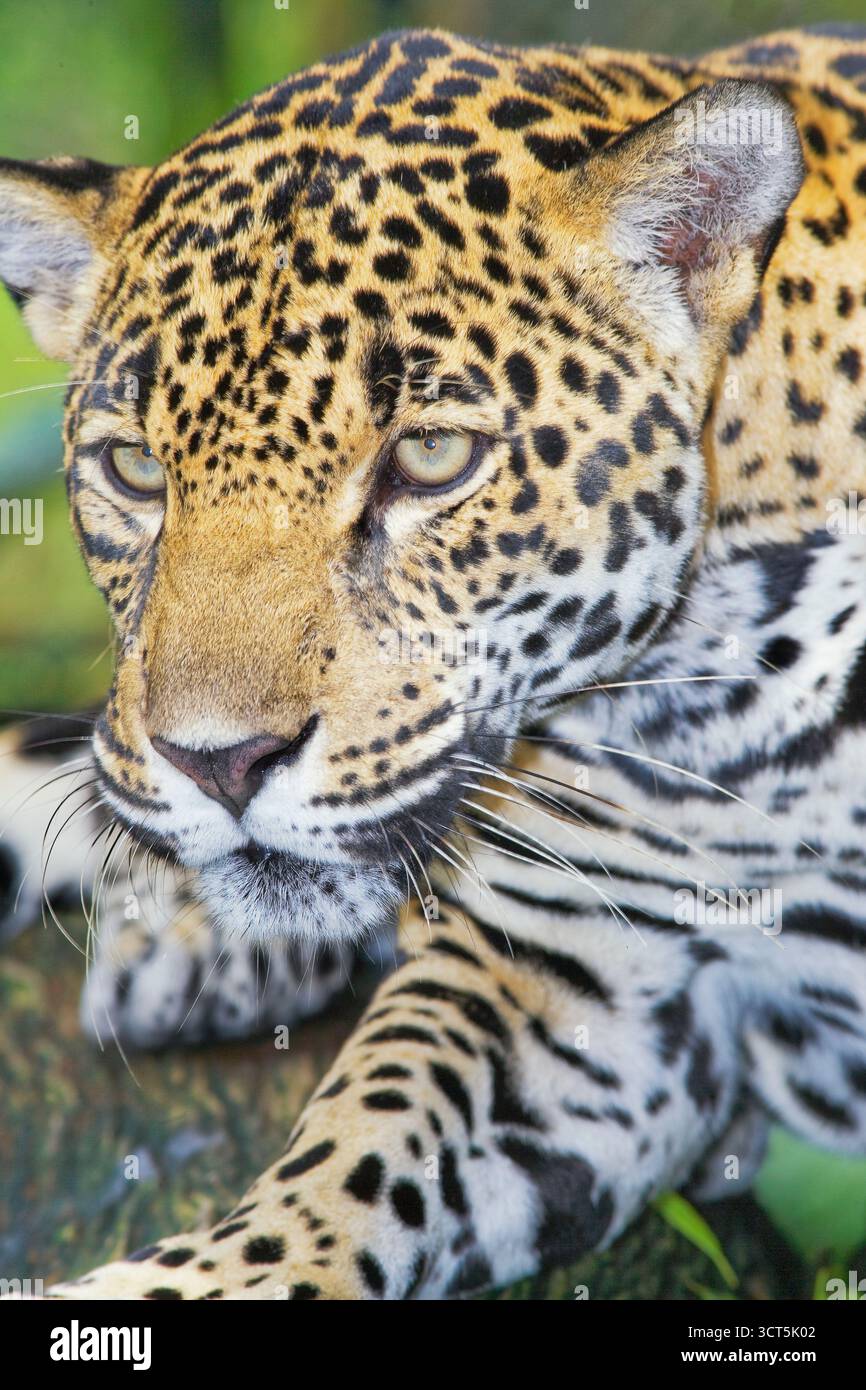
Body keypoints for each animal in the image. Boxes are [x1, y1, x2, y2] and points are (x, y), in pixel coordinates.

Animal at [1, 21, 866, 1300]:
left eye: (431, 458)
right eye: (136, 471)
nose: (219, 764)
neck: (725, 704)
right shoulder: (563, 979)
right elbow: (346, 1158)